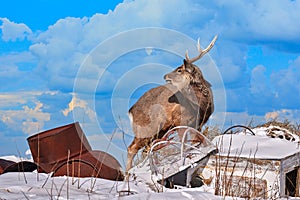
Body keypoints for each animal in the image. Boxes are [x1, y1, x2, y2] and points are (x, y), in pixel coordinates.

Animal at [125, 35, 217, 173]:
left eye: (179, 70)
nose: (165, 76)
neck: (201, 105)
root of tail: (131, 110)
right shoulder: (179, 121)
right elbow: (184, 144)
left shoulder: (199, 123)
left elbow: (198, 142)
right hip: (145, 129)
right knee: (132, 148)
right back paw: (127, 175)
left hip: (159, 131)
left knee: (146, 148)